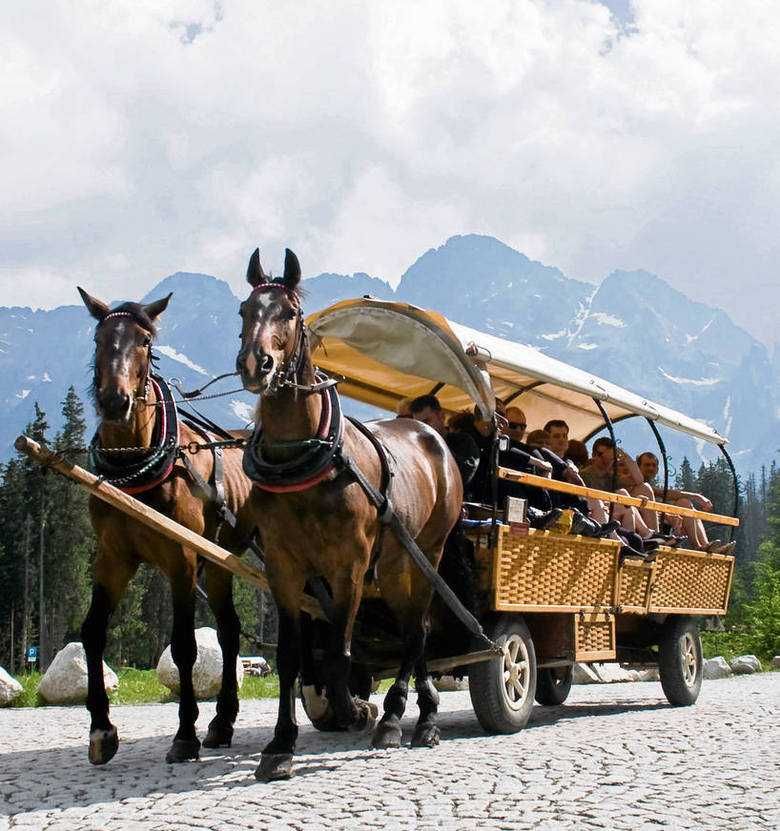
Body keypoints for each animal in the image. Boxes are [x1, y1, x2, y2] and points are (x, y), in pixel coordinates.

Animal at [77, 288, 253, 768]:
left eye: (145, 342)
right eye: (99, 338)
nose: (115, 401)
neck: (136, 466)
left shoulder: (182, 558)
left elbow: (184, 647)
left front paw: (185, 734)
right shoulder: (112, 558)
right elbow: (93, 632)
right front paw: (102, 729)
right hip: (222, 561)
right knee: (230, 631)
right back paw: (222, 722)